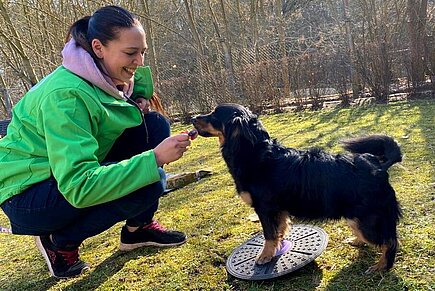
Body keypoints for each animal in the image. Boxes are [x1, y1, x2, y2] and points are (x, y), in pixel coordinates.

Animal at [192, 103, 404, 274]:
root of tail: (378, 165)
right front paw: (278, 246)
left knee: (390, 241)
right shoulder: (278, 210)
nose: (193, 119)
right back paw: (358, 241)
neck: (255, 152)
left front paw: (265, 256)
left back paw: (381, 266)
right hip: (357, 219)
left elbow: (269, 235)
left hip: (366, 219)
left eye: (214, 114)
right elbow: (280, 230)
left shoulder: (265, 209)